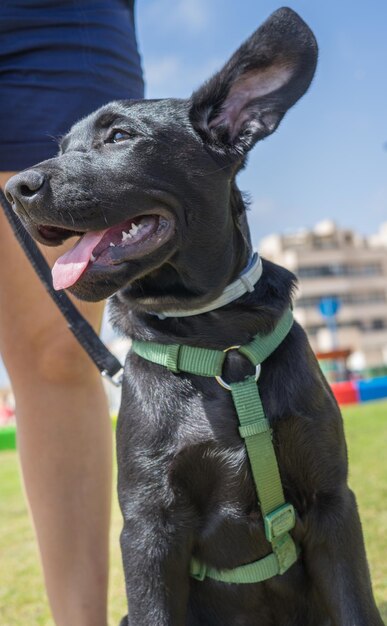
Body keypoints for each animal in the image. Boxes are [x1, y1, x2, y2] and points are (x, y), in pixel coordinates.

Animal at [6, 6, 384, 624]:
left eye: (119, 137)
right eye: (63, 146)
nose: (16, 188)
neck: (218, 347)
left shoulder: (333, 503)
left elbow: (356, 605)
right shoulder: (148, 525)